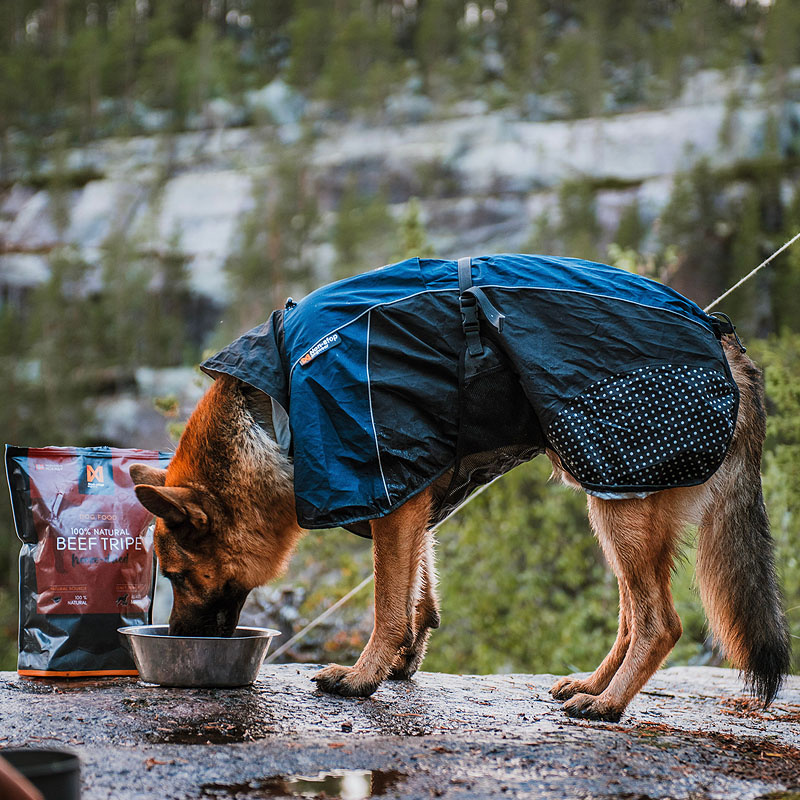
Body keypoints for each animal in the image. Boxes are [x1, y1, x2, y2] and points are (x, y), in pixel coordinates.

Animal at [130, 334, 788, 720]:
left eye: (177, 576)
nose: (178, 638)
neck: (271, 415)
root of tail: (728, 345)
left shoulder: (392, 502)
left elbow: (387, 606)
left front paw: (363, 677)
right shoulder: (412, 504)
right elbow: (418, 595)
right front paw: (400, 664)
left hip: (618, 507)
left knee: (659, 624)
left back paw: (608, 706)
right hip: (615, 511)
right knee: (632, 619)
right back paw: (593, 686)